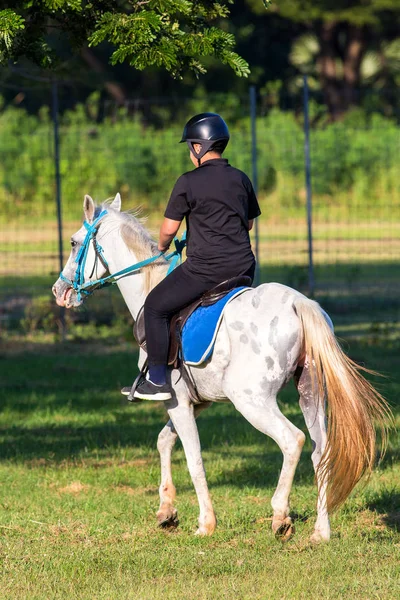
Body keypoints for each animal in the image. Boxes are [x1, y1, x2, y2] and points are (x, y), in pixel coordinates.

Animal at [51, 193, 390, 544]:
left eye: (74, 243)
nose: (59, 291)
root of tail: (299, 303)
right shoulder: (195, 402)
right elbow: (164, 440)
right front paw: (166, 511)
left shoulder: (177, 402)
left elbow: (194, 459)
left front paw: (205, 523)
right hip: (309, 393)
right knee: (320, 450)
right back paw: (321, 532)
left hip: (251, 400)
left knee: (292, 440)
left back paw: (280, 516)